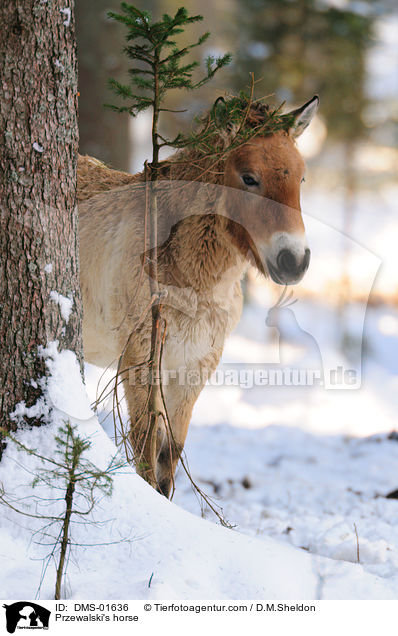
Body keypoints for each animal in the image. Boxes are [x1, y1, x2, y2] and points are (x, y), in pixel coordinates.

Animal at [77, 93, 318, 496]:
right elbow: (146, 449)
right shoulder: (140, 362)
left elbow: (167, 458)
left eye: (300, 177)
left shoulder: (194, 367)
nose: (293, 261)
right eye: (249, 178)